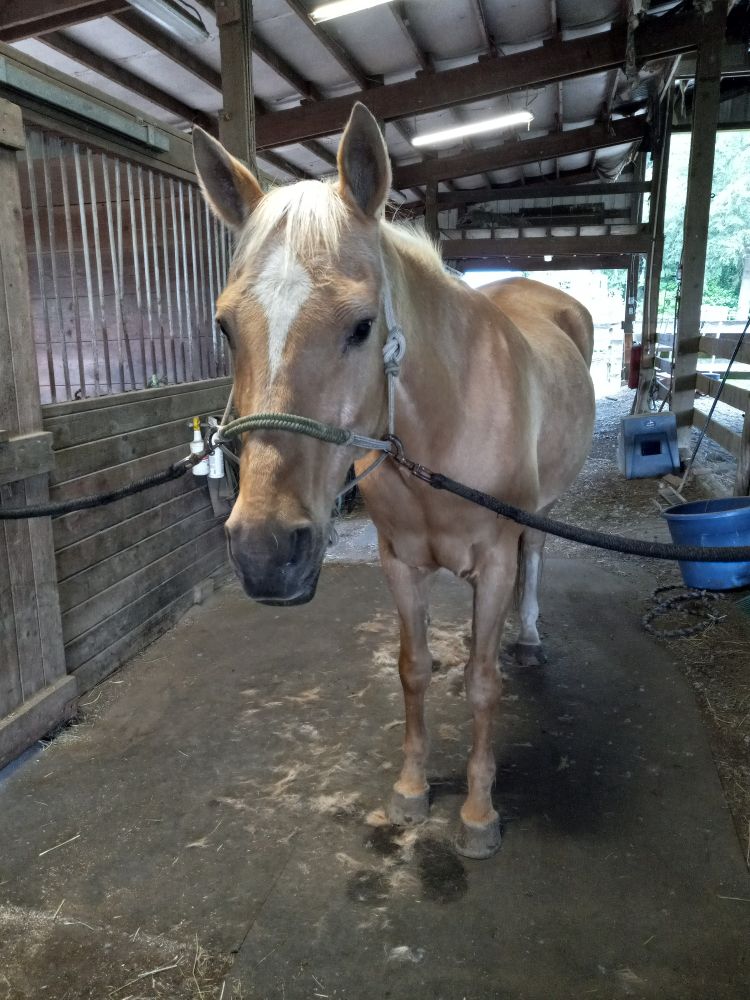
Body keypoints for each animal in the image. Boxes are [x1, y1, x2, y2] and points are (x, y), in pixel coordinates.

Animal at [193, 102, 595, 859]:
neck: (443, 422)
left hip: (539, 515)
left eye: (361, 325)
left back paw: (527, 635)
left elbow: (483, 684)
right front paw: (411, 790)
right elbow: (413, 669)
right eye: (226, 326)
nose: (265, 552)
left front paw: (477, 813)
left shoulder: (493, 560)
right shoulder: (400, 562)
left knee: (534, 558)